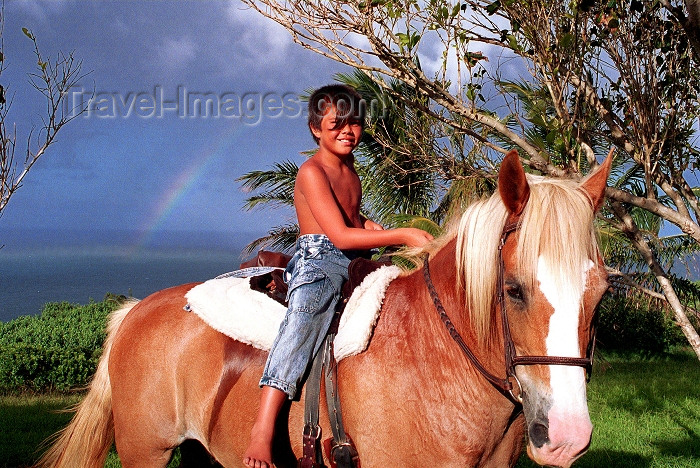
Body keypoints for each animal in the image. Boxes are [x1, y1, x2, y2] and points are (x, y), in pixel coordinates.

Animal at [35, 151, 608, 468]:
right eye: (512, 289)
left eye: (600, 294)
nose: (567, 437)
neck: (437, 361)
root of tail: (135, 311)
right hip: (144, 451)